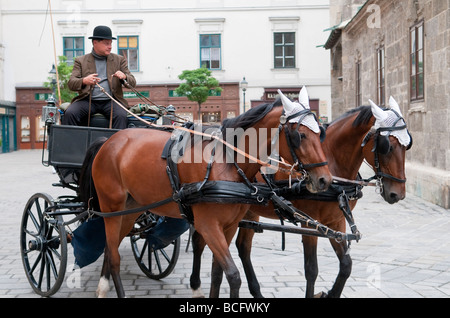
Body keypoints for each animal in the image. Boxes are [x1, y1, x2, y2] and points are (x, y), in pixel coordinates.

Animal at [77, 85, 332, 296]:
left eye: (320, 132)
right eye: (300, 135)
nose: (324, 180)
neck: (227, 162)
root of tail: (108, 141)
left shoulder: (229, 226)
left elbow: (218, 273)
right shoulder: (208, 225)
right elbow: (233, 275)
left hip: (131, 209)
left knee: (110, 250)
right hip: (111, 208)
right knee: (114, 256)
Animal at [188, 96, 414, 298]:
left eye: (407, 145)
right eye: (387, 146)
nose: (398, 193)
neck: (331, 162)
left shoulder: (335, 221)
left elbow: (346, 265)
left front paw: (330, 294)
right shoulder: (310, 224)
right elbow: (311, 269)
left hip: (247, 212)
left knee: (242, 247)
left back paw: (257, 292)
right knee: (200, 240)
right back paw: (195, 283)